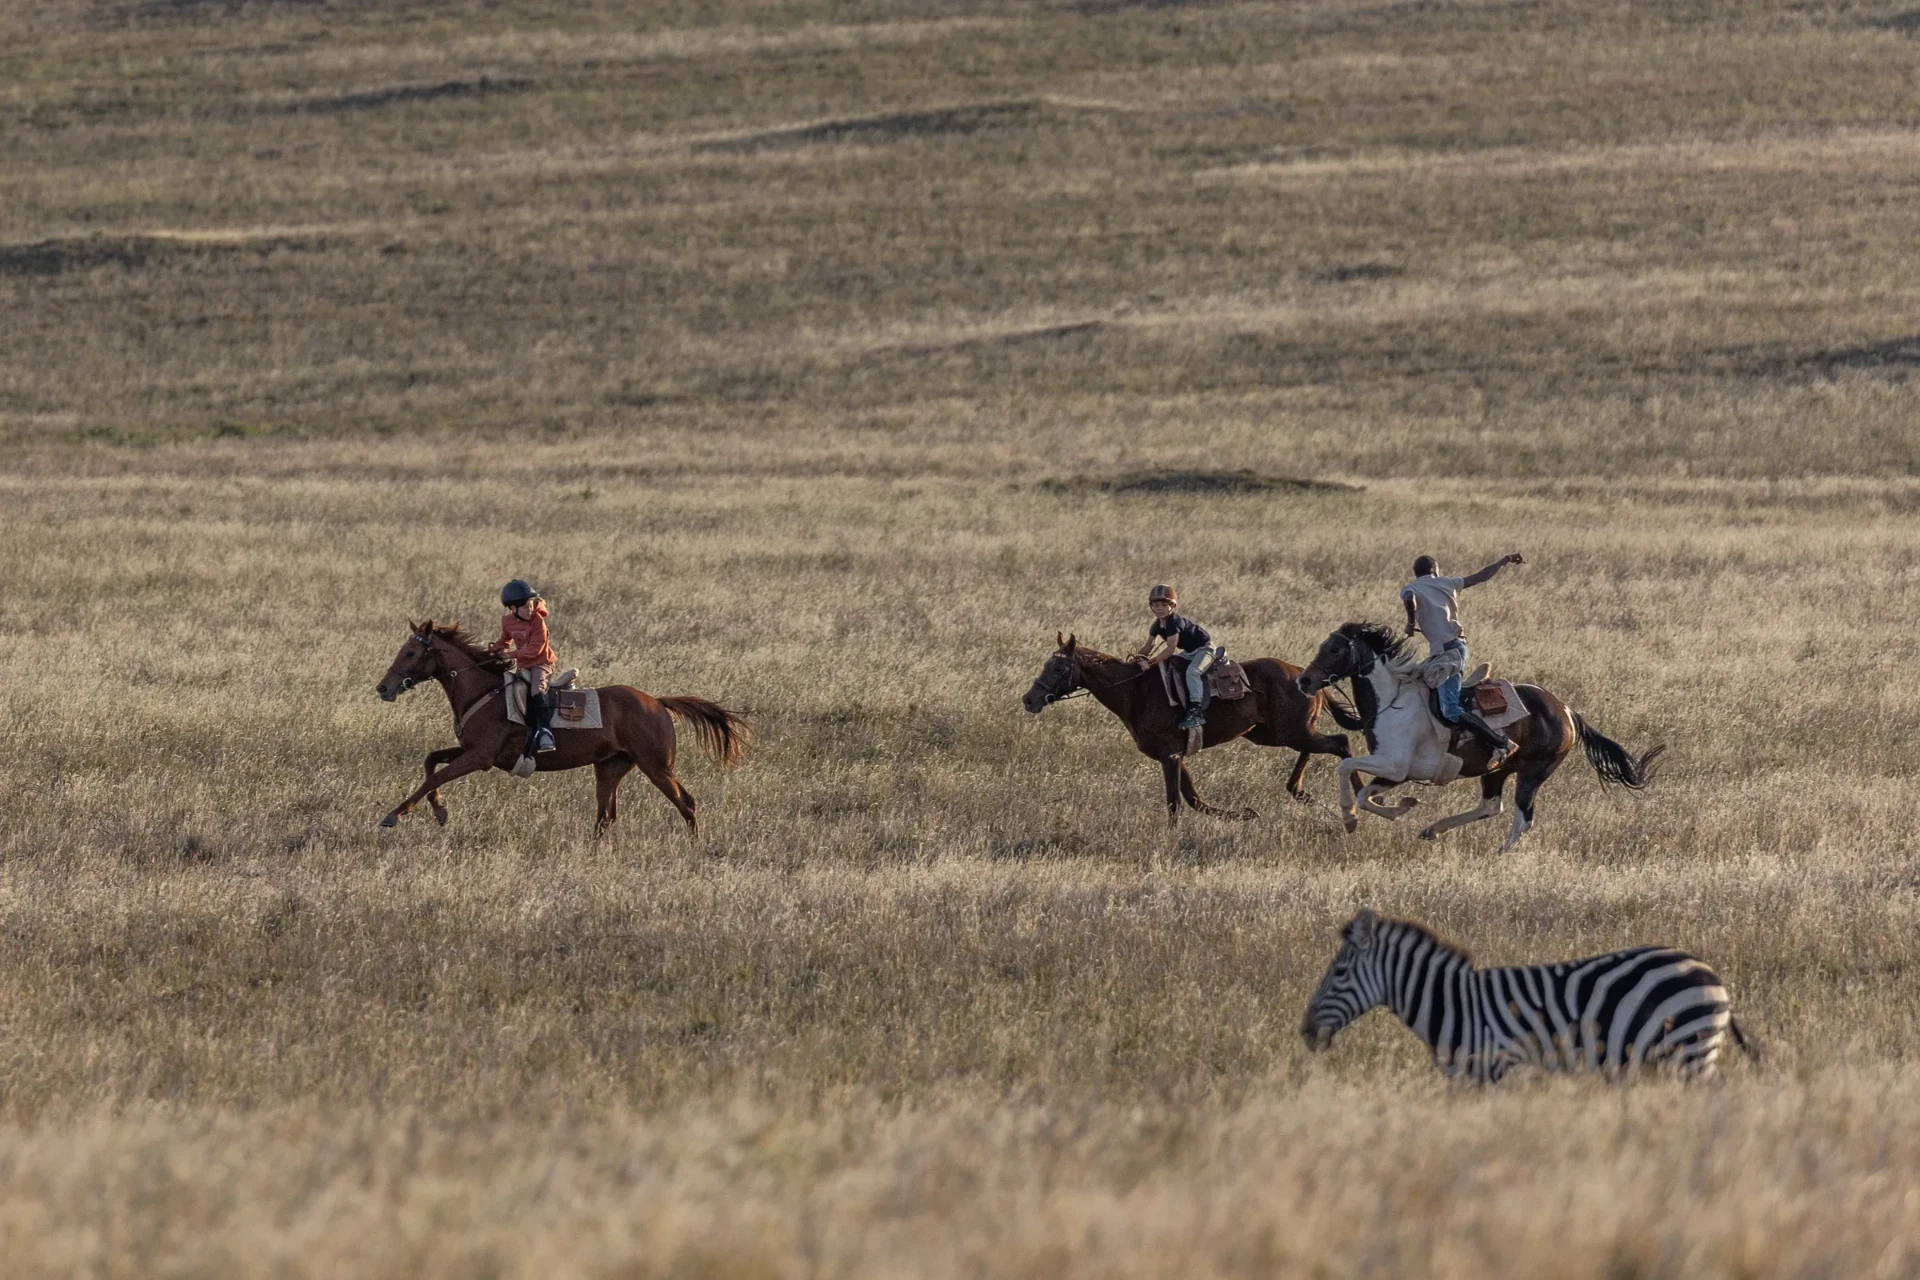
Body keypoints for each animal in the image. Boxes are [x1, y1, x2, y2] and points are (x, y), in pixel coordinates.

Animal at [1300, 909, 1751, 1081]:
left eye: (1338, 973)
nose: (1305, 1032)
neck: (1454, 1006)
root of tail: (1709, 971)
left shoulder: (1504, 1069)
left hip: (1689, 1051)